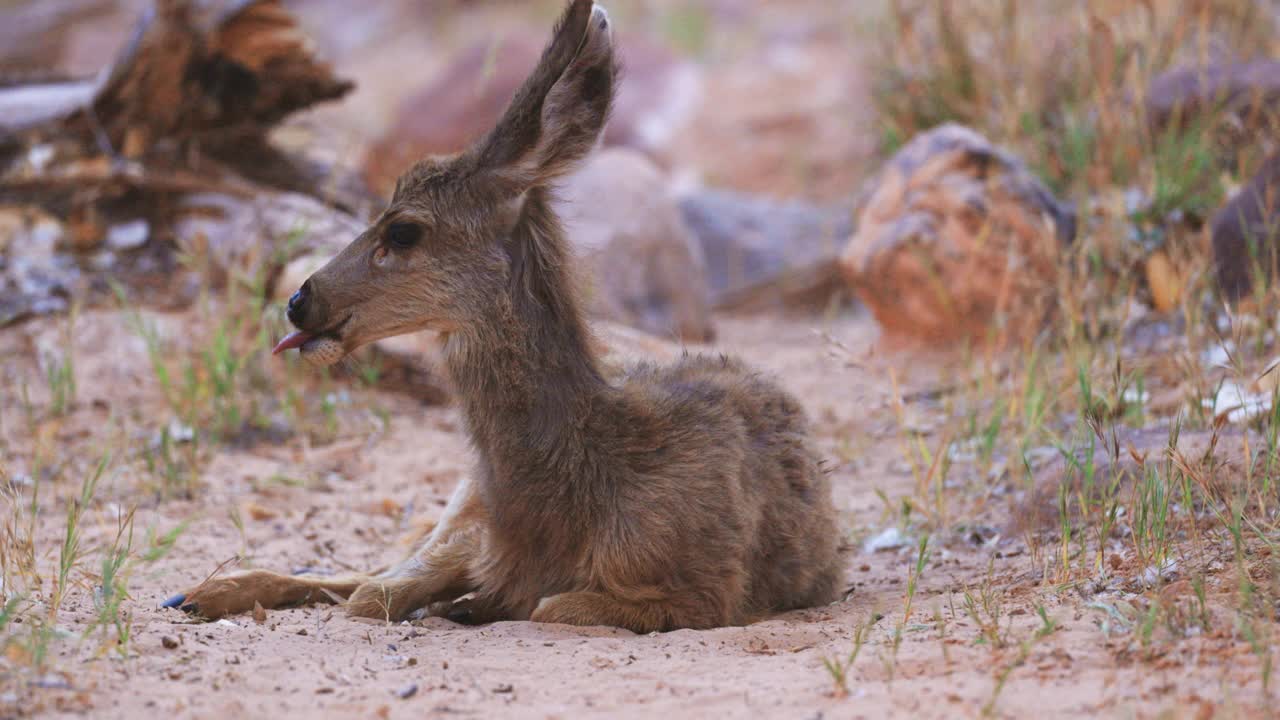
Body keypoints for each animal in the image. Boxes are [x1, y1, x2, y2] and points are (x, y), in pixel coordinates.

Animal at [162, 0, 839, 627]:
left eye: (403, 231)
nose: (299, 302)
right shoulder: (480, 534)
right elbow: (380, 593)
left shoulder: (707, 590)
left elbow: (543, 606)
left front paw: (473, 605)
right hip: (463, 501)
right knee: (369, 577)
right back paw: (199, 592)